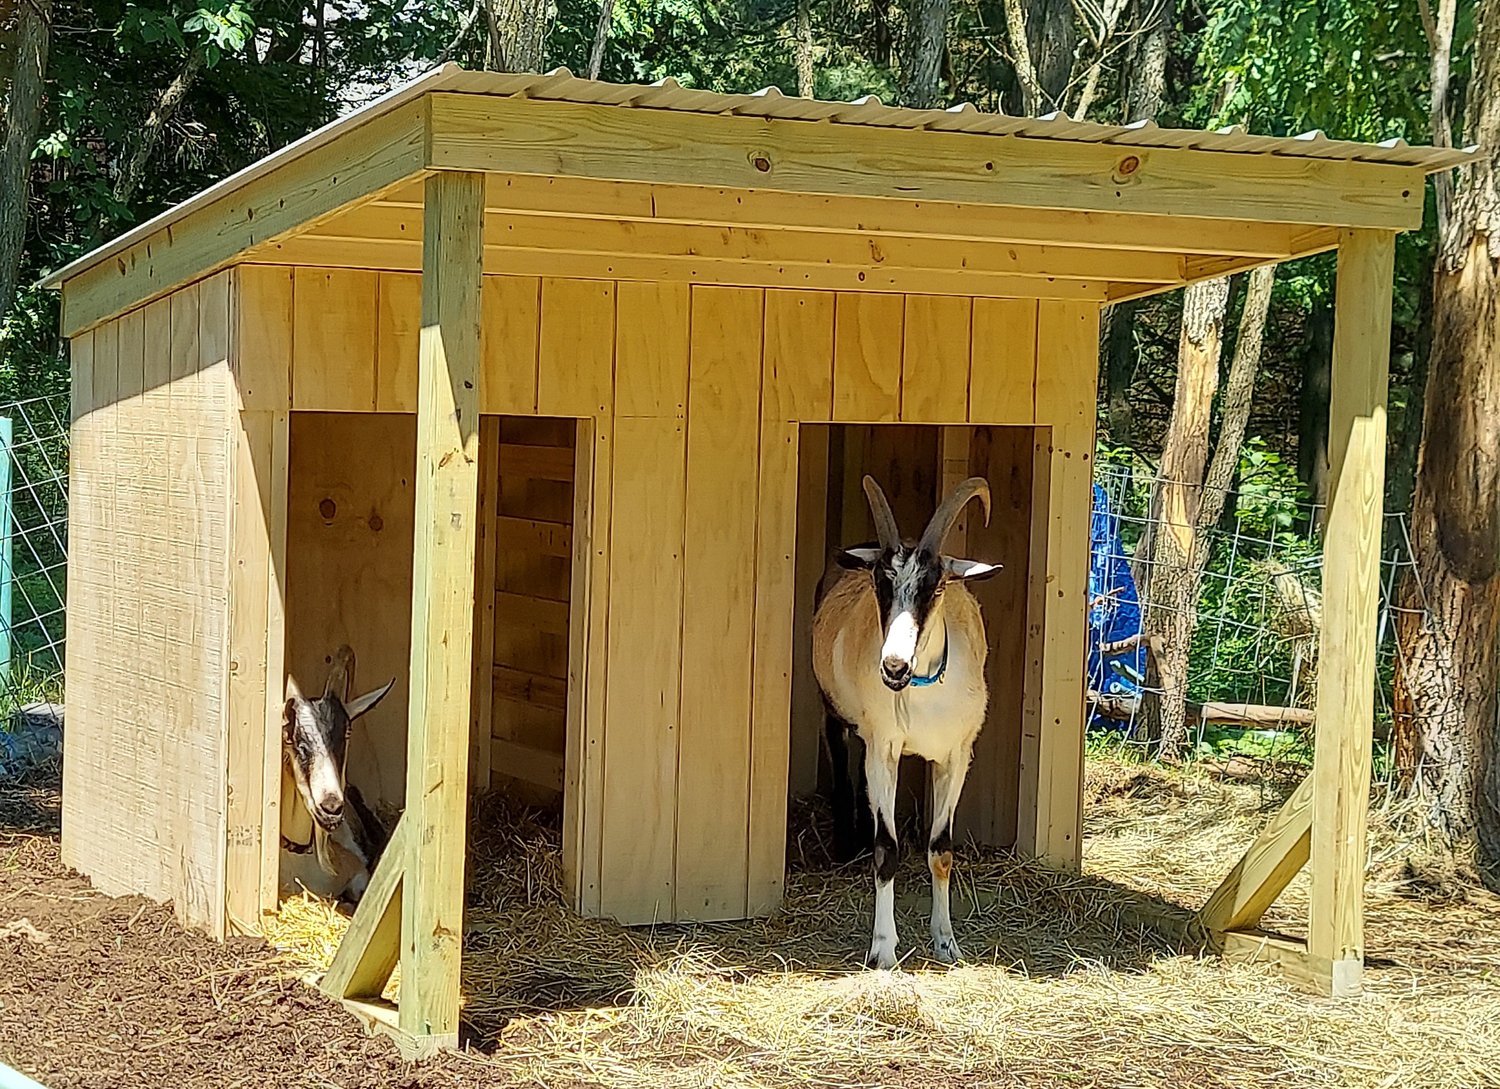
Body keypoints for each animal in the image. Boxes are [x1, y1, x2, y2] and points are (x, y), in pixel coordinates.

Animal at [816, 477, 1002, 972]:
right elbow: (888, 848)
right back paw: (847, 841)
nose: (894, 667)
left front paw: (947, 943)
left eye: (935, 589)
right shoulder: (884, 748)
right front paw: (883, 948)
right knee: (840, 756)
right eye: (880, 584)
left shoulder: (957, 756)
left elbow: (941, 849)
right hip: (836, 713)